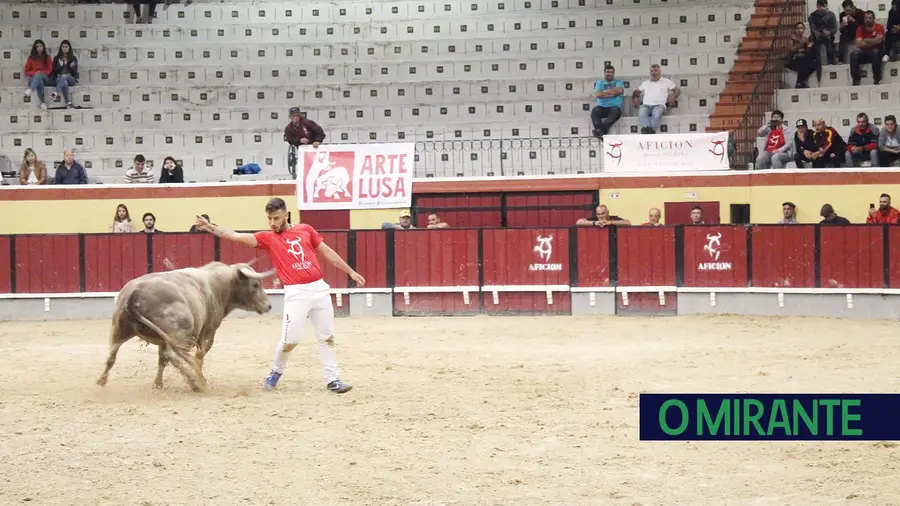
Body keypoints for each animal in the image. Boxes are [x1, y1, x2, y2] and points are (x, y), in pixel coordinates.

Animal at [96, 260, 276, 392]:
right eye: (255, 285)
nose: (268, 306)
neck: (220, 285)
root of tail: (134, 293)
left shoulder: (164, 339)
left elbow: (162, 360)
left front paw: (158, 384)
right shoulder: (208, 332)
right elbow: (199, 357)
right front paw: (198, 376)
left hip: (119, 329)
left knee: (112, 355)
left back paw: (101, 381)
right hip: (181, 334)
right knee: (174, 355)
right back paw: (197, 382)